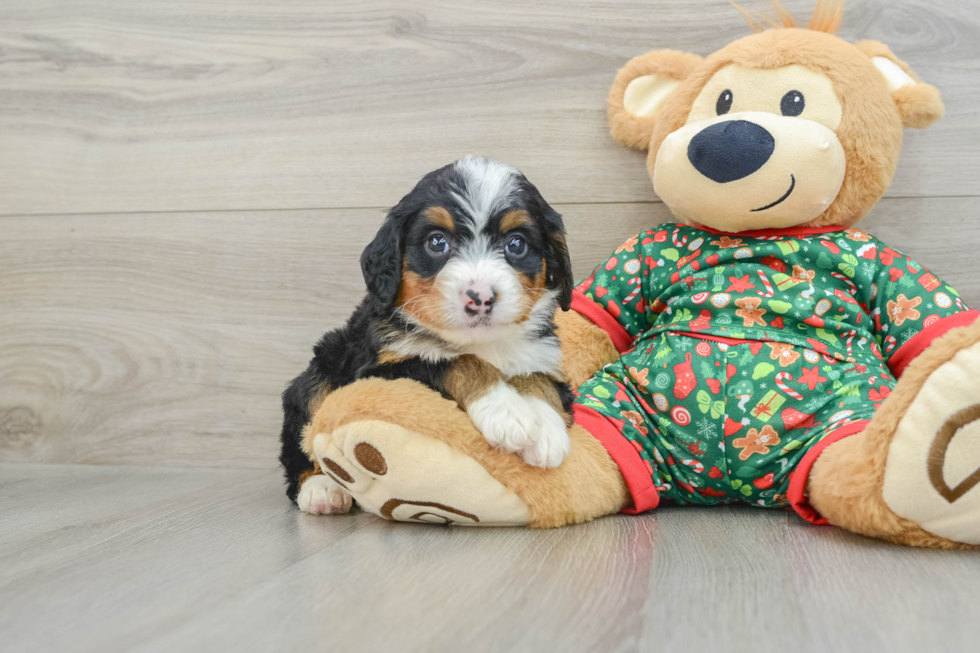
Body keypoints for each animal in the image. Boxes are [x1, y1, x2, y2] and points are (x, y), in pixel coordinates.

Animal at [278, 158, 576, 516]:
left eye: (516, 244)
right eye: (437, 242)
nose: (480, 298)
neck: (482, 341)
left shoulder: (543, 354)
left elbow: (539, 380)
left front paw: (546, 431)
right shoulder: (382, 370)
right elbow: (457, 361)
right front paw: (506, 412)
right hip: (317, 374)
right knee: (301, 444)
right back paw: (322, 489)